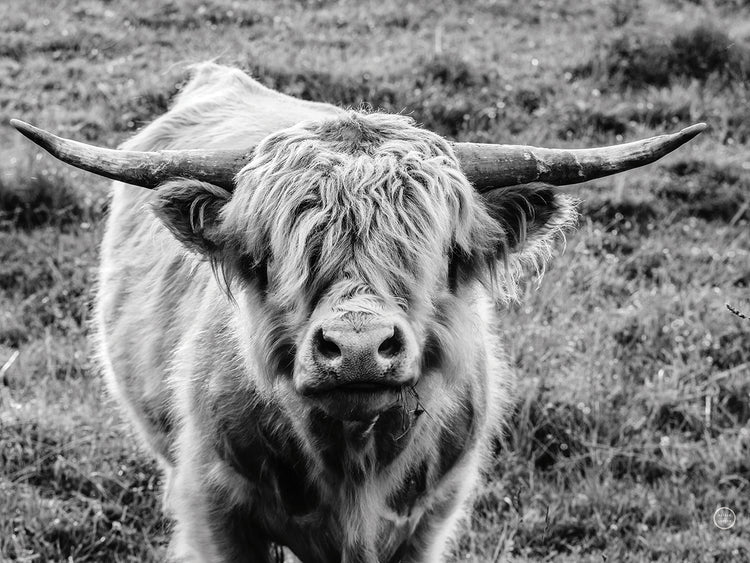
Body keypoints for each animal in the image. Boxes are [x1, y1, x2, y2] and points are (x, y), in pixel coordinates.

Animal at [12, 63, 704, 563]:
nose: (358, 348)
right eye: (273, 253)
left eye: (440, 251)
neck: (352, 463)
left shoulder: (429, 520)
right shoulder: (215, 509)